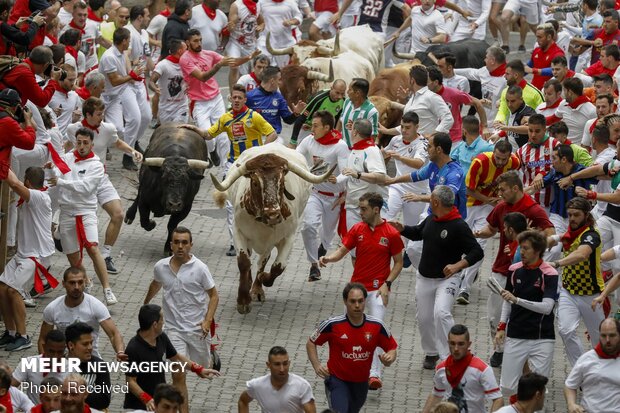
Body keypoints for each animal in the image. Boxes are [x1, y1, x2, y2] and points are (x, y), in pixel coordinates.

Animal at [209, 142, 336, 312]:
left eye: (282, 183)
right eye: (255, 183)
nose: (273, 215)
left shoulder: (288, 237)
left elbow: (278, 266)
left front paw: (262, 279)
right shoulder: (238, 232)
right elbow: (244, 262)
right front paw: (243, 300)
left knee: (263, 260)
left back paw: (257, 288)